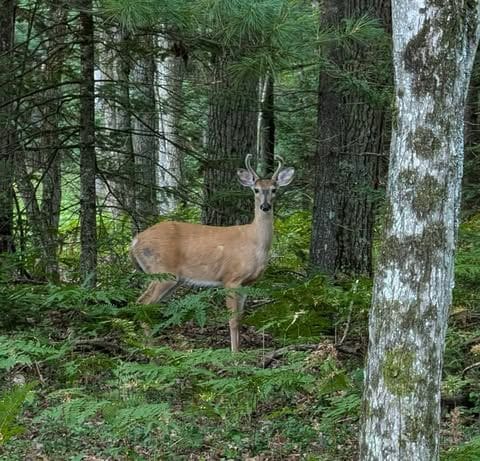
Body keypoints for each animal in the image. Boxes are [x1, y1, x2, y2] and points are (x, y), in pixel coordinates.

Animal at [129, 155, 294, 352]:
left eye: (274, 190)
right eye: (256, 190)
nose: (265, 206)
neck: (255, 243)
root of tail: (135, 241)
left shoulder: (248, 283)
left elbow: (240, 318)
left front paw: (239, 351)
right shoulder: (231, 278)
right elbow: (233, 320)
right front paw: (234, 354)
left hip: (170, 279)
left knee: (148, 305)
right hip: (162, 271)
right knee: (142, 303)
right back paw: (150, 348)